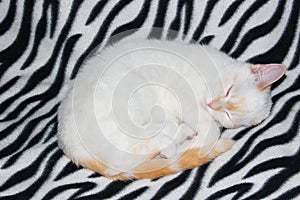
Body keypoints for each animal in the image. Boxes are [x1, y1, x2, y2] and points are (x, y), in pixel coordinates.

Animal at [56, 38, 286, 180]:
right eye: (229, 90)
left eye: (229, 115)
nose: (212, 105)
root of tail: (67, 142)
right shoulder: (183, 90)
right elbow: (211, 130)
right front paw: (202, 139)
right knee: (121, 158)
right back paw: (175, 139)